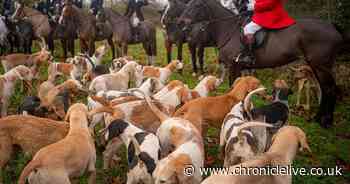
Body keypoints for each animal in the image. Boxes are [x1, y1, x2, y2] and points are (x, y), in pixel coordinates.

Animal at [179, 0, 344, 128]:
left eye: (196, 5)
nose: (180, 22)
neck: (228, 29)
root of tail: (331, 26)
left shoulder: (234, 66)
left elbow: (233, 86)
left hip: (321, 65)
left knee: (329, 89)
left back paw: (324, 122)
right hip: (317, 66)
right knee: (325, 88)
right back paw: (319, 118)